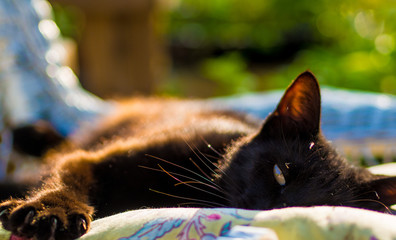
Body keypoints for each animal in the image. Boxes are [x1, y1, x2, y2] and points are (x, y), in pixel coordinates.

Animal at [0, 71, 396, 240]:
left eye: (319, 205)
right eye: (280, 173)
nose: (273, 211)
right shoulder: (95, 161)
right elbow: (66, 181)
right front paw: (52, 213)